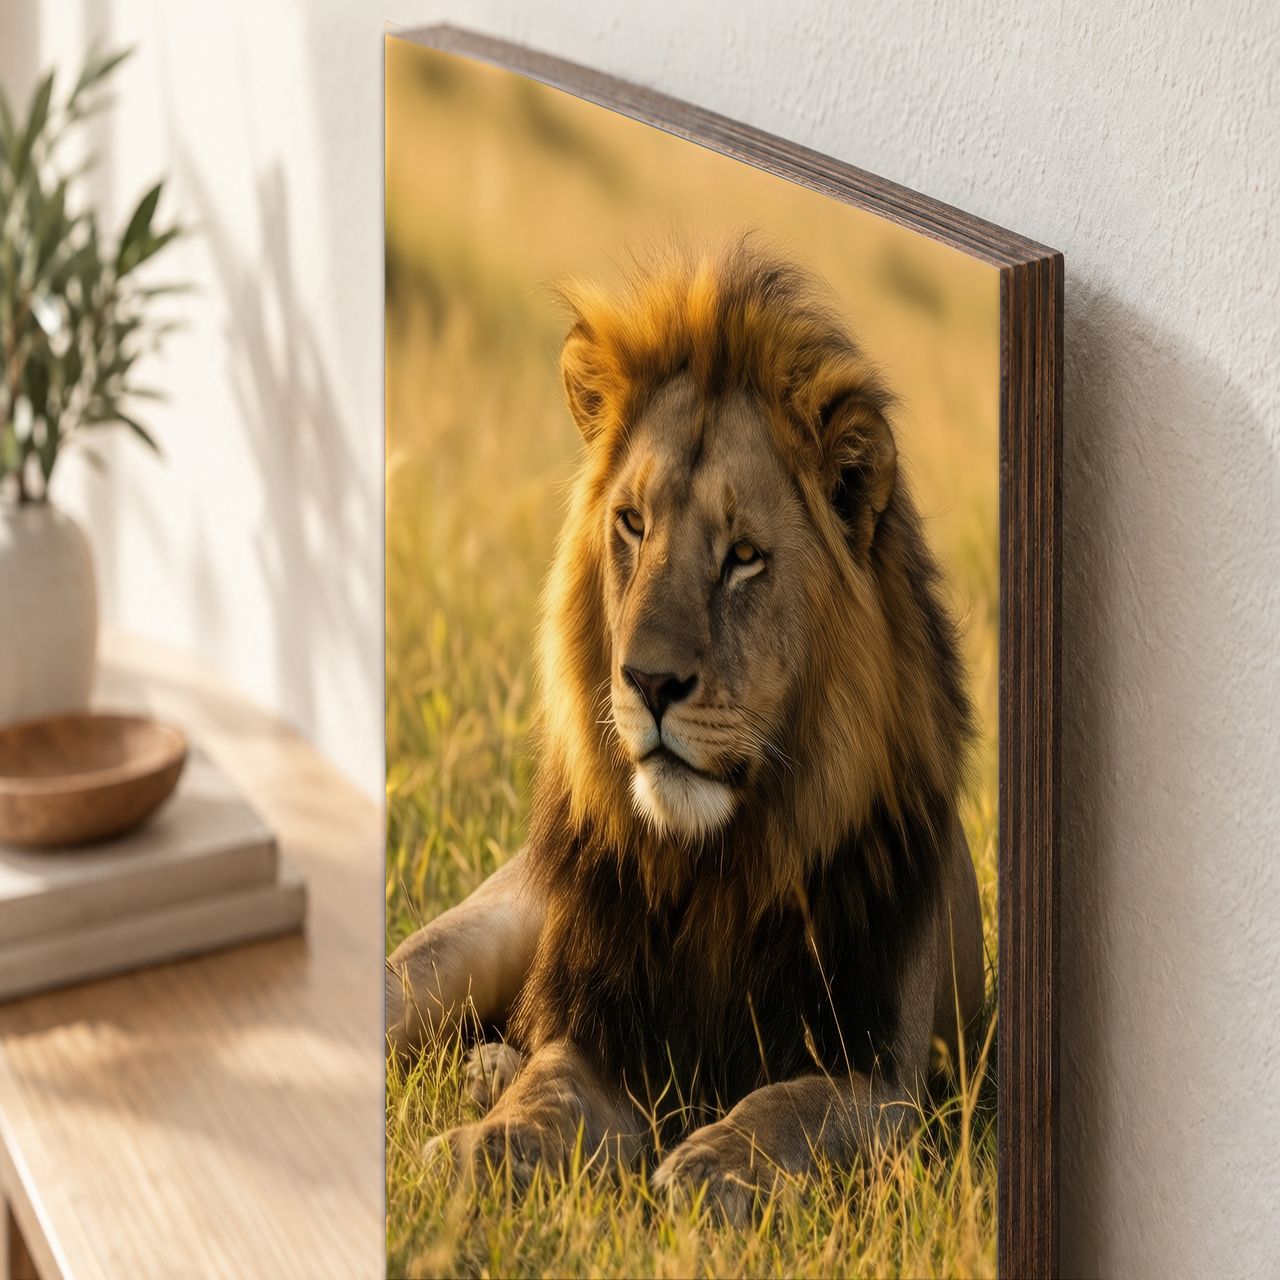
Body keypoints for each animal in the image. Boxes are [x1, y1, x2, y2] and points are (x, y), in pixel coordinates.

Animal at [386, 240, 985, 1221]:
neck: (718, 870)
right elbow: (550, 1083)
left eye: (743, 557)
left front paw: (715, 1169)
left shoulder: (891, 1084)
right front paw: (485, 1147)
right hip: (450, 959)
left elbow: (791, 1106)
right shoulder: (598, 1024)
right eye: (632, 524)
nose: (649, 682)